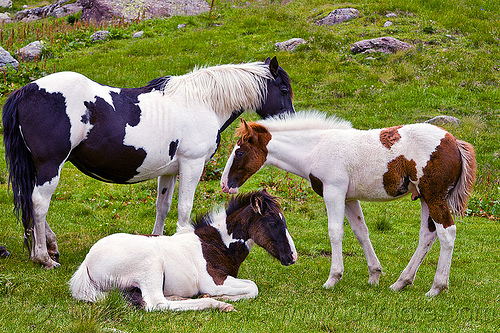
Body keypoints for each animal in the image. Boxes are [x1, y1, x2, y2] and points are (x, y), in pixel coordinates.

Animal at [2, 55, 292, 268]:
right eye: (284, 89)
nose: (290, 120)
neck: (202, 102)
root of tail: (25, 91)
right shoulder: (192, 165)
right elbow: (184, 208)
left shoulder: (170, 172)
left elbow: (163, 207)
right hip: (50, 165)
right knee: (39, 204)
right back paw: (43, 257)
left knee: (31, 202)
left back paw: (49, 247)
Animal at [70, 189, 296, 312]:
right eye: (274, 222)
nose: (292, 257)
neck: (217, 243)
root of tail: (87, 262)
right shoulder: (214, 281)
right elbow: (253, 287)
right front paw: (220, 299)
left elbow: (251, 287)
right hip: (151, 264)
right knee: (156, 303)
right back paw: (214, 304)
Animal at [221, 111, 474, 296]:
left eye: (240, 152)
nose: (225, 184)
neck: (316, 147)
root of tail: (453, 141)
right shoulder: (350, 198)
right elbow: (361, 232)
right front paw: (374, 275)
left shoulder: (333, 192)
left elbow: (335, 232)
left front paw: (333, 278)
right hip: (424, 198)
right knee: (427, 234)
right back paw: (401, 282)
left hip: (434, 196)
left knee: (447, 232)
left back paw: (436, 287)